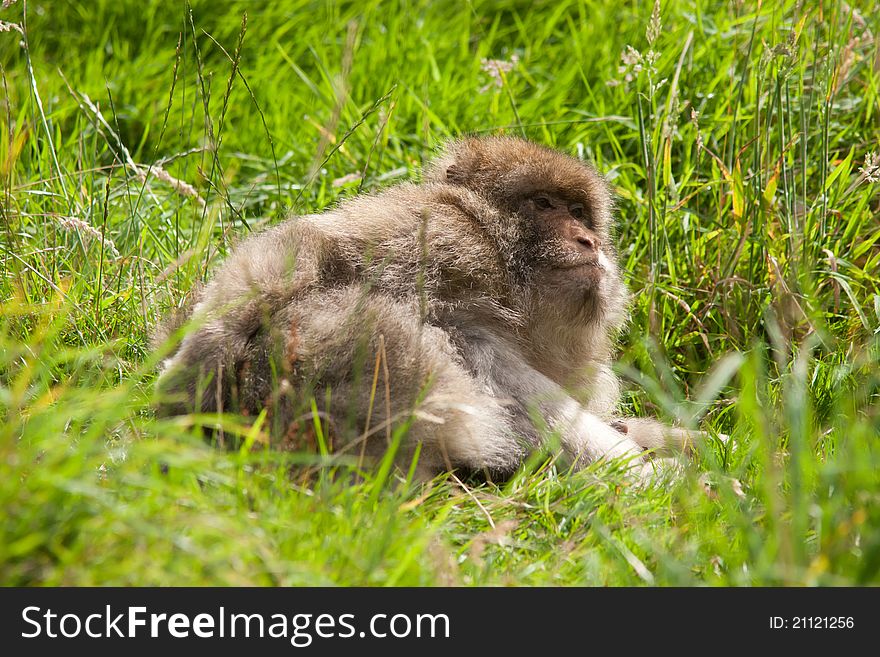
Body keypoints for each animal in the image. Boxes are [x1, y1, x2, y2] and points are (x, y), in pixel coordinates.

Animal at [153, 136, 700, 480]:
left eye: (581, 213)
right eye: (544, 204)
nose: (589, 242)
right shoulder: (453, 235)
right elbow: (303, 254)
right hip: (338, 372)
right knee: (464, 342)